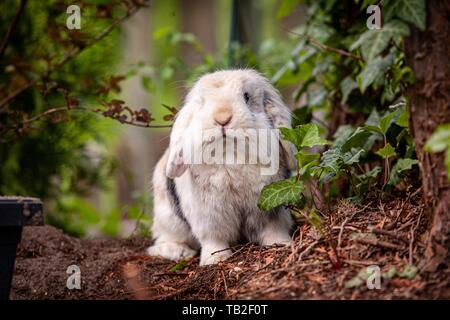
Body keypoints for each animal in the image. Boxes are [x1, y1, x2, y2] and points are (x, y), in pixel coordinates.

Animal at [148, 68, 296, 264]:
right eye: (202, 102)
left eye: (246, 96)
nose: (222, 118)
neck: (230, 154)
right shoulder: (209, 216)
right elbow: (214, 240)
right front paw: (214, 260)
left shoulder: (269, 210)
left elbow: (273, 230)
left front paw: (281, 244)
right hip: (168, 218)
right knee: (163, 240)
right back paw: (179, 252)